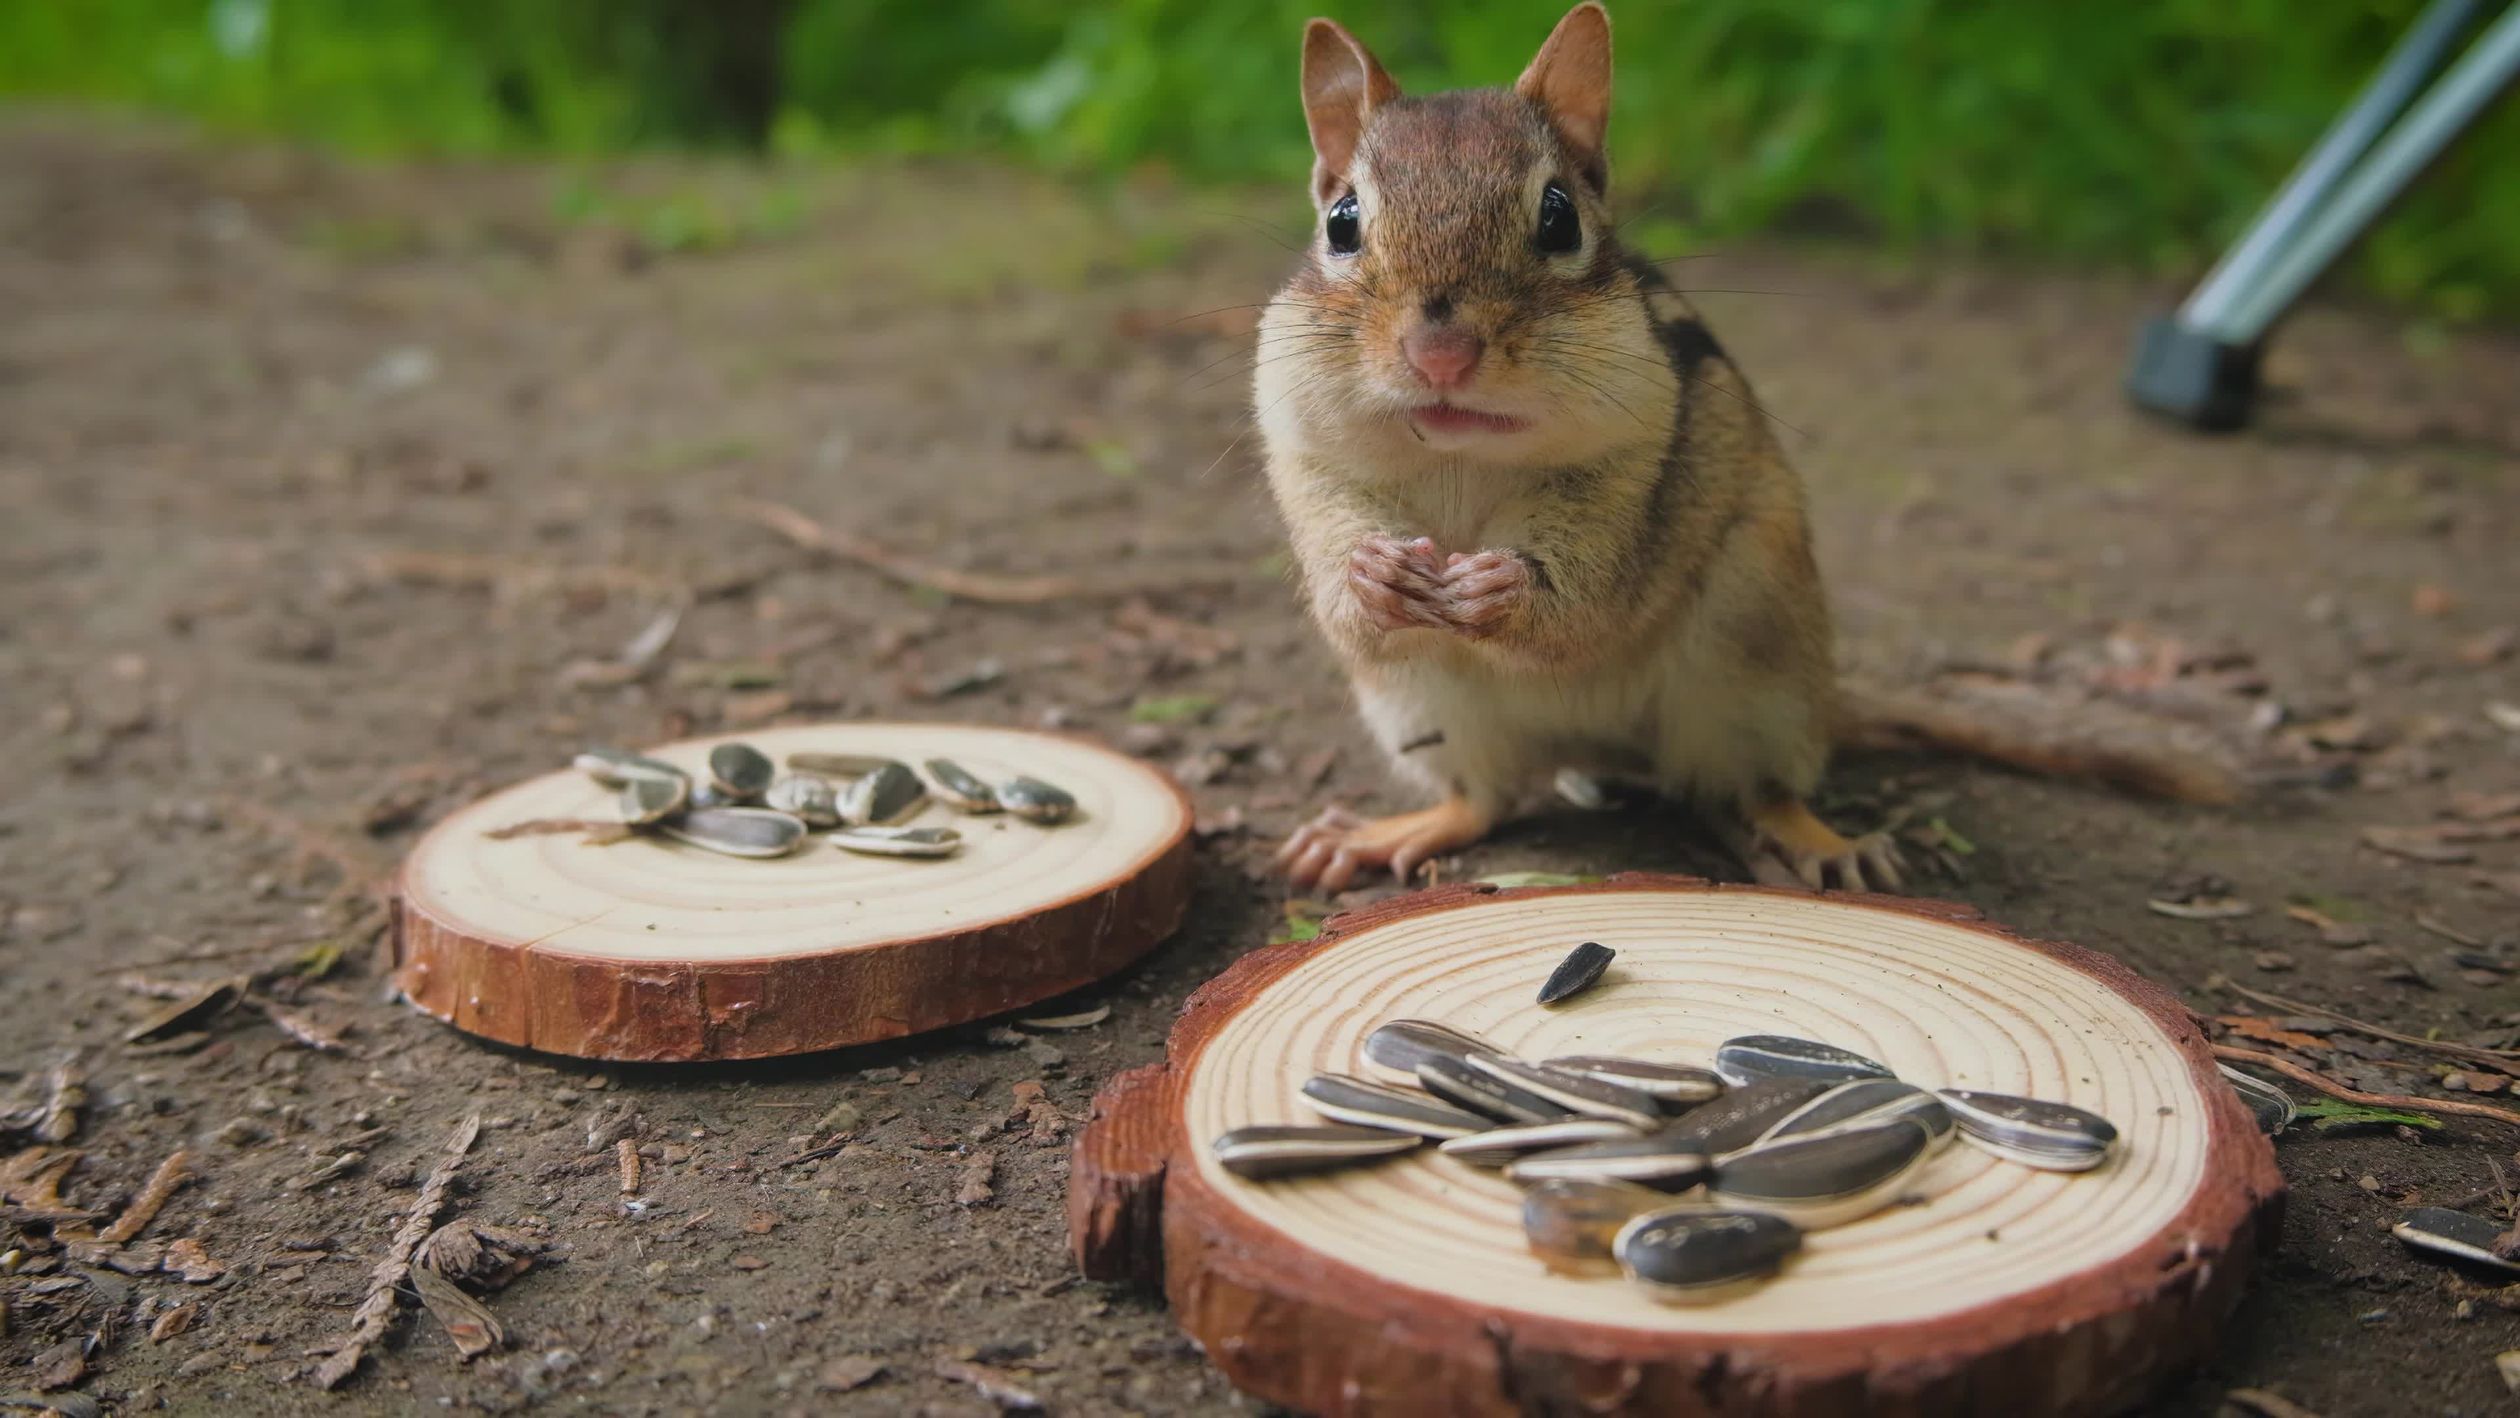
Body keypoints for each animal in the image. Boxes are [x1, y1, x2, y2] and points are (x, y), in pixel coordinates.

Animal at [1255, 4, 2237, 896]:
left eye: (1559, 219)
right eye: (1342, 221)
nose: (1442, 354)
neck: (1465, 456)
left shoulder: (1629, 469)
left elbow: (1582, 603)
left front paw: (1501, 585)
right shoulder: (1310, 465)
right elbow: (1344, 576)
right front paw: (1373, 576)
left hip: (1753, 655)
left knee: (1751, 789)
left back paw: (1827, 844)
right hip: (1426, 702)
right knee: (1483, 801)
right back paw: (1380, 834)